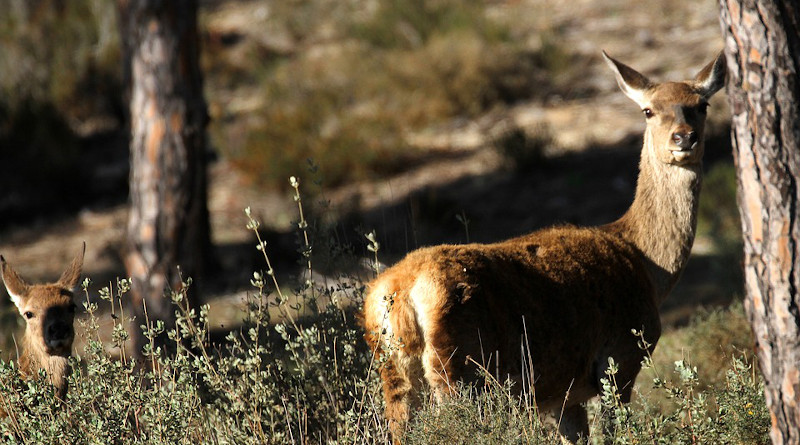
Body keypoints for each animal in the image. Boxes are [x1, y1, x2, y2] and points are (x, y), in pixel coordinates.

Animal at [361, 50, 726, 443]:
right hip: (461, 368)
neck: (644, 261)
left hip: (395, 372)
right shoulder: (620, 359)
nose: (683, 138)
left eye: (702, 105)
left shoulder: (563, 395)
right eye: (648, 110)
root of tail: (401, 292)